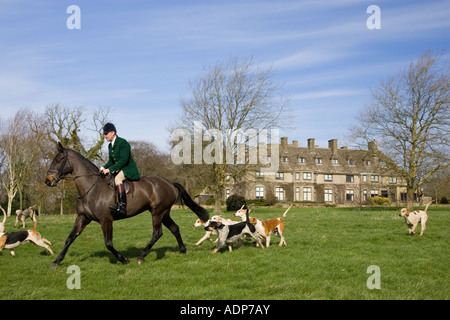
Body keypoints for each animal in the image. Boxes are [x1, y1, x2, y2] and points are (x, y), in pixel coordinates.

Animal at [44, 143, 209, 268]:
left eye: (59, 160)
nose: (47, 181)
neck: (91, 188)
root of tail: (170, 183)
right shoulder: (83, 217)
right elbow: (70, 238)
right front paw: (56, 261)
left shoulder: (106, 219)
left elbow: (108, 243)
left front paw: (123, 260)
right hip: (164, 213)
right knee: (174, 228)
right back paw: (182, 250)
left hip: (157, 212)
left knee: (157, 233)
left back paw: (141, 256)